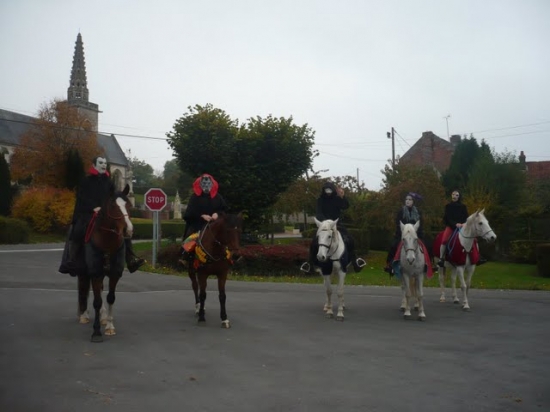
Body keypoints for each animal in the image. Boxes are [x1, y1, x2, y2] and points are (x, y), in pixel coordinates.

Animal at [78, 183, 134, 342]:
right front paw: (96, 332)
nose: (128, 230)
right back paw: (84, 315)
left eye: (128, 205)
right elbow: (96, 301)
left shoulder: (115, 273)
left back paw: (103, 317)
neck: (107, 242)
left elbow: (110, 298)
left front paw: (109, 326)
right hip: (85, 271)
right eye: (113, 206)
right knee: (85, 287)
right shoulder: (96, 272)